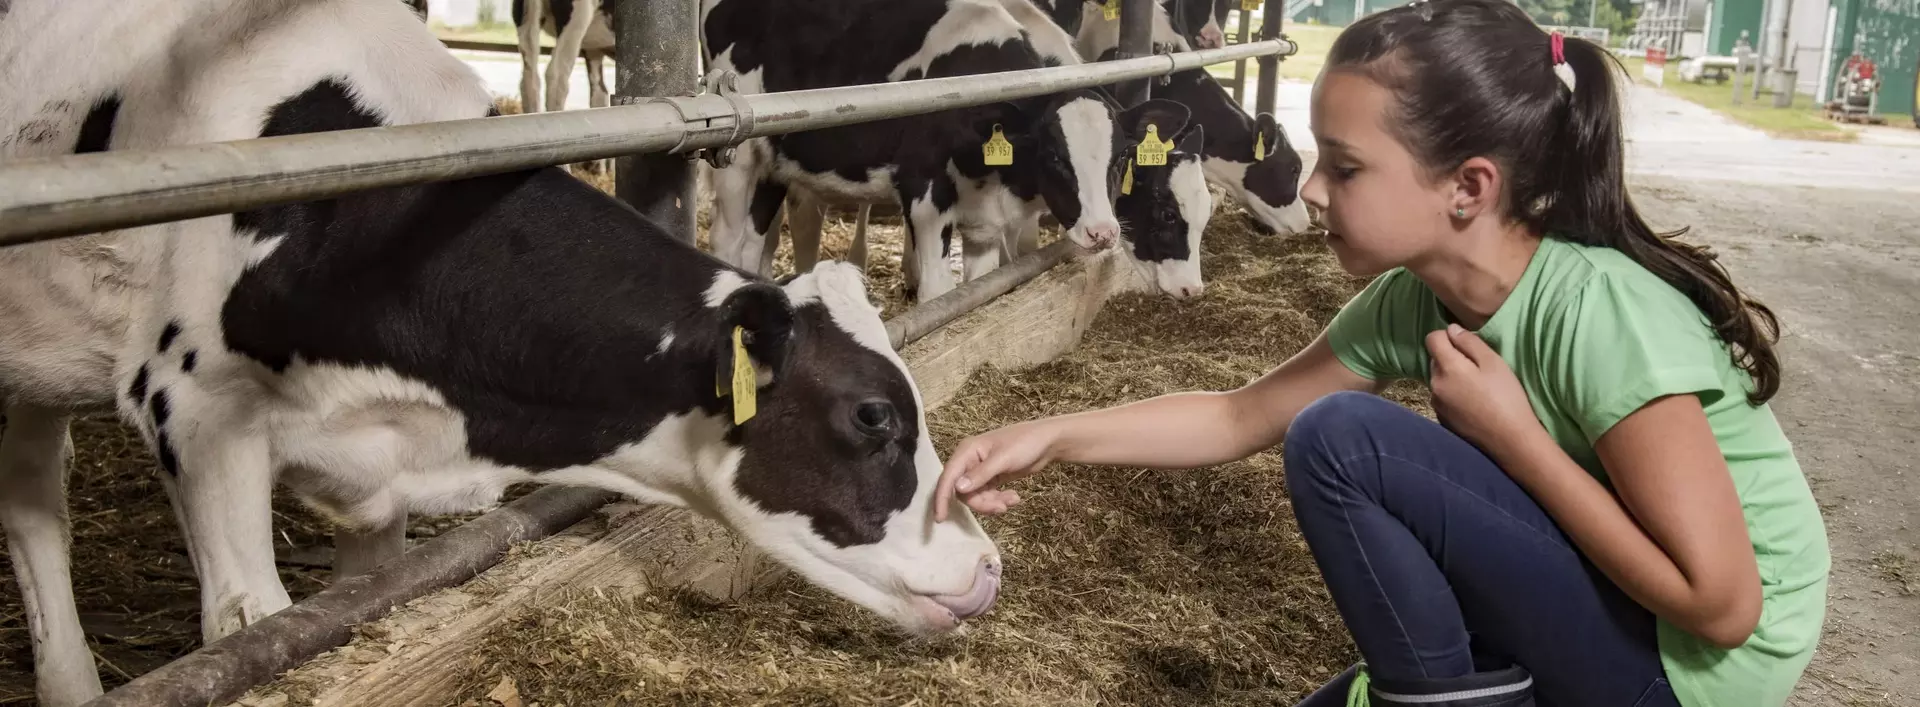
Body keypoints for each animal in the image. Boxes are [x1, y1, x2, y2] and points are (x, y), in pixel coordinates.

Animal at [3, 1, 1006, 707]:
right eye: (873, 416)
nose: (990, 565)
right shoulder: (194, 414)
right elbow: (248, 620)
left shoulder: (374, 486)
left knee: (32, 495)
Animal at [698, 0, 1190, 301]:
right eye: (1053, 155)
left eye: (1120, 157)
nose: (1102, 233)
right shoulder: (926, 196)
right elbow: (938, 295)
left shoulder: (986, 227)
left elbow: (977, 289)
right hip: (736, 158)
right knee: (727, 239)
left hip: (773, 165)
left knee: (754, 242)